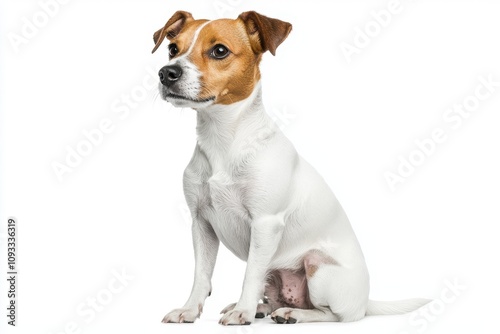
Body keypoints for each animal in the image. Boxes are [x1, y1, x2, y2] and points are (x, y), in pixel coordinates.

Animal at [150, 9, 428, 324]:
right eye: (172, 49)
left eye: (219, 50)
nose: (166, 73)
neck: (223, 139)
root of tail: (365, 302)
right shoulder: (201, 224)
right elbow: (202, 274)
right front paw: (189, 309)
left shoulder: (265, 223)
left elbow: (250, 274)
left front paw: (242, 313)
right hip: (275, 271)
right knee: (272, 296)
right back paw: (261, 308)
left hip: (318, 266)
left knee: (333, 314)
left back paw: (291, 313)